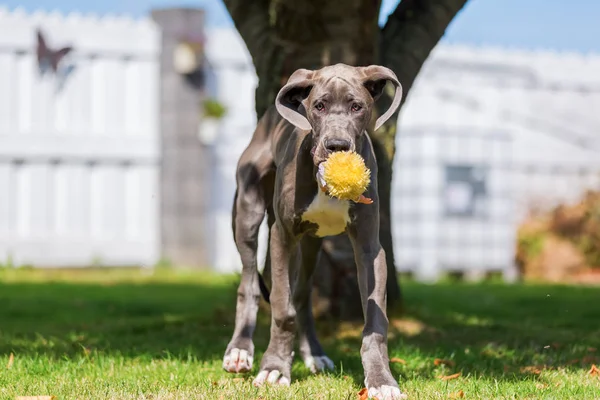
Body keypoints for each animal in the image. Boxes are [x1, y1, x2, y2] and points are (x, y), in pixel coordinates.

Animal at [223, 64, 406, 398]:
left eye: (357, 107)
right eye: (318, 106)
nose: (337, 146)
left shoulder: (370, 247)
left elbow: (375, 321)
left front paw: (381, 380)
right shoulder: (282, 236)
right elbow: (282, 308)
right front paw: (274, 369)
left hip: (311, 245)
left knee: (303, 294)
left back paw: (315, 354)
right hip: (248, 214)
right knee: (250, 283)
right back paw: (239, 351)